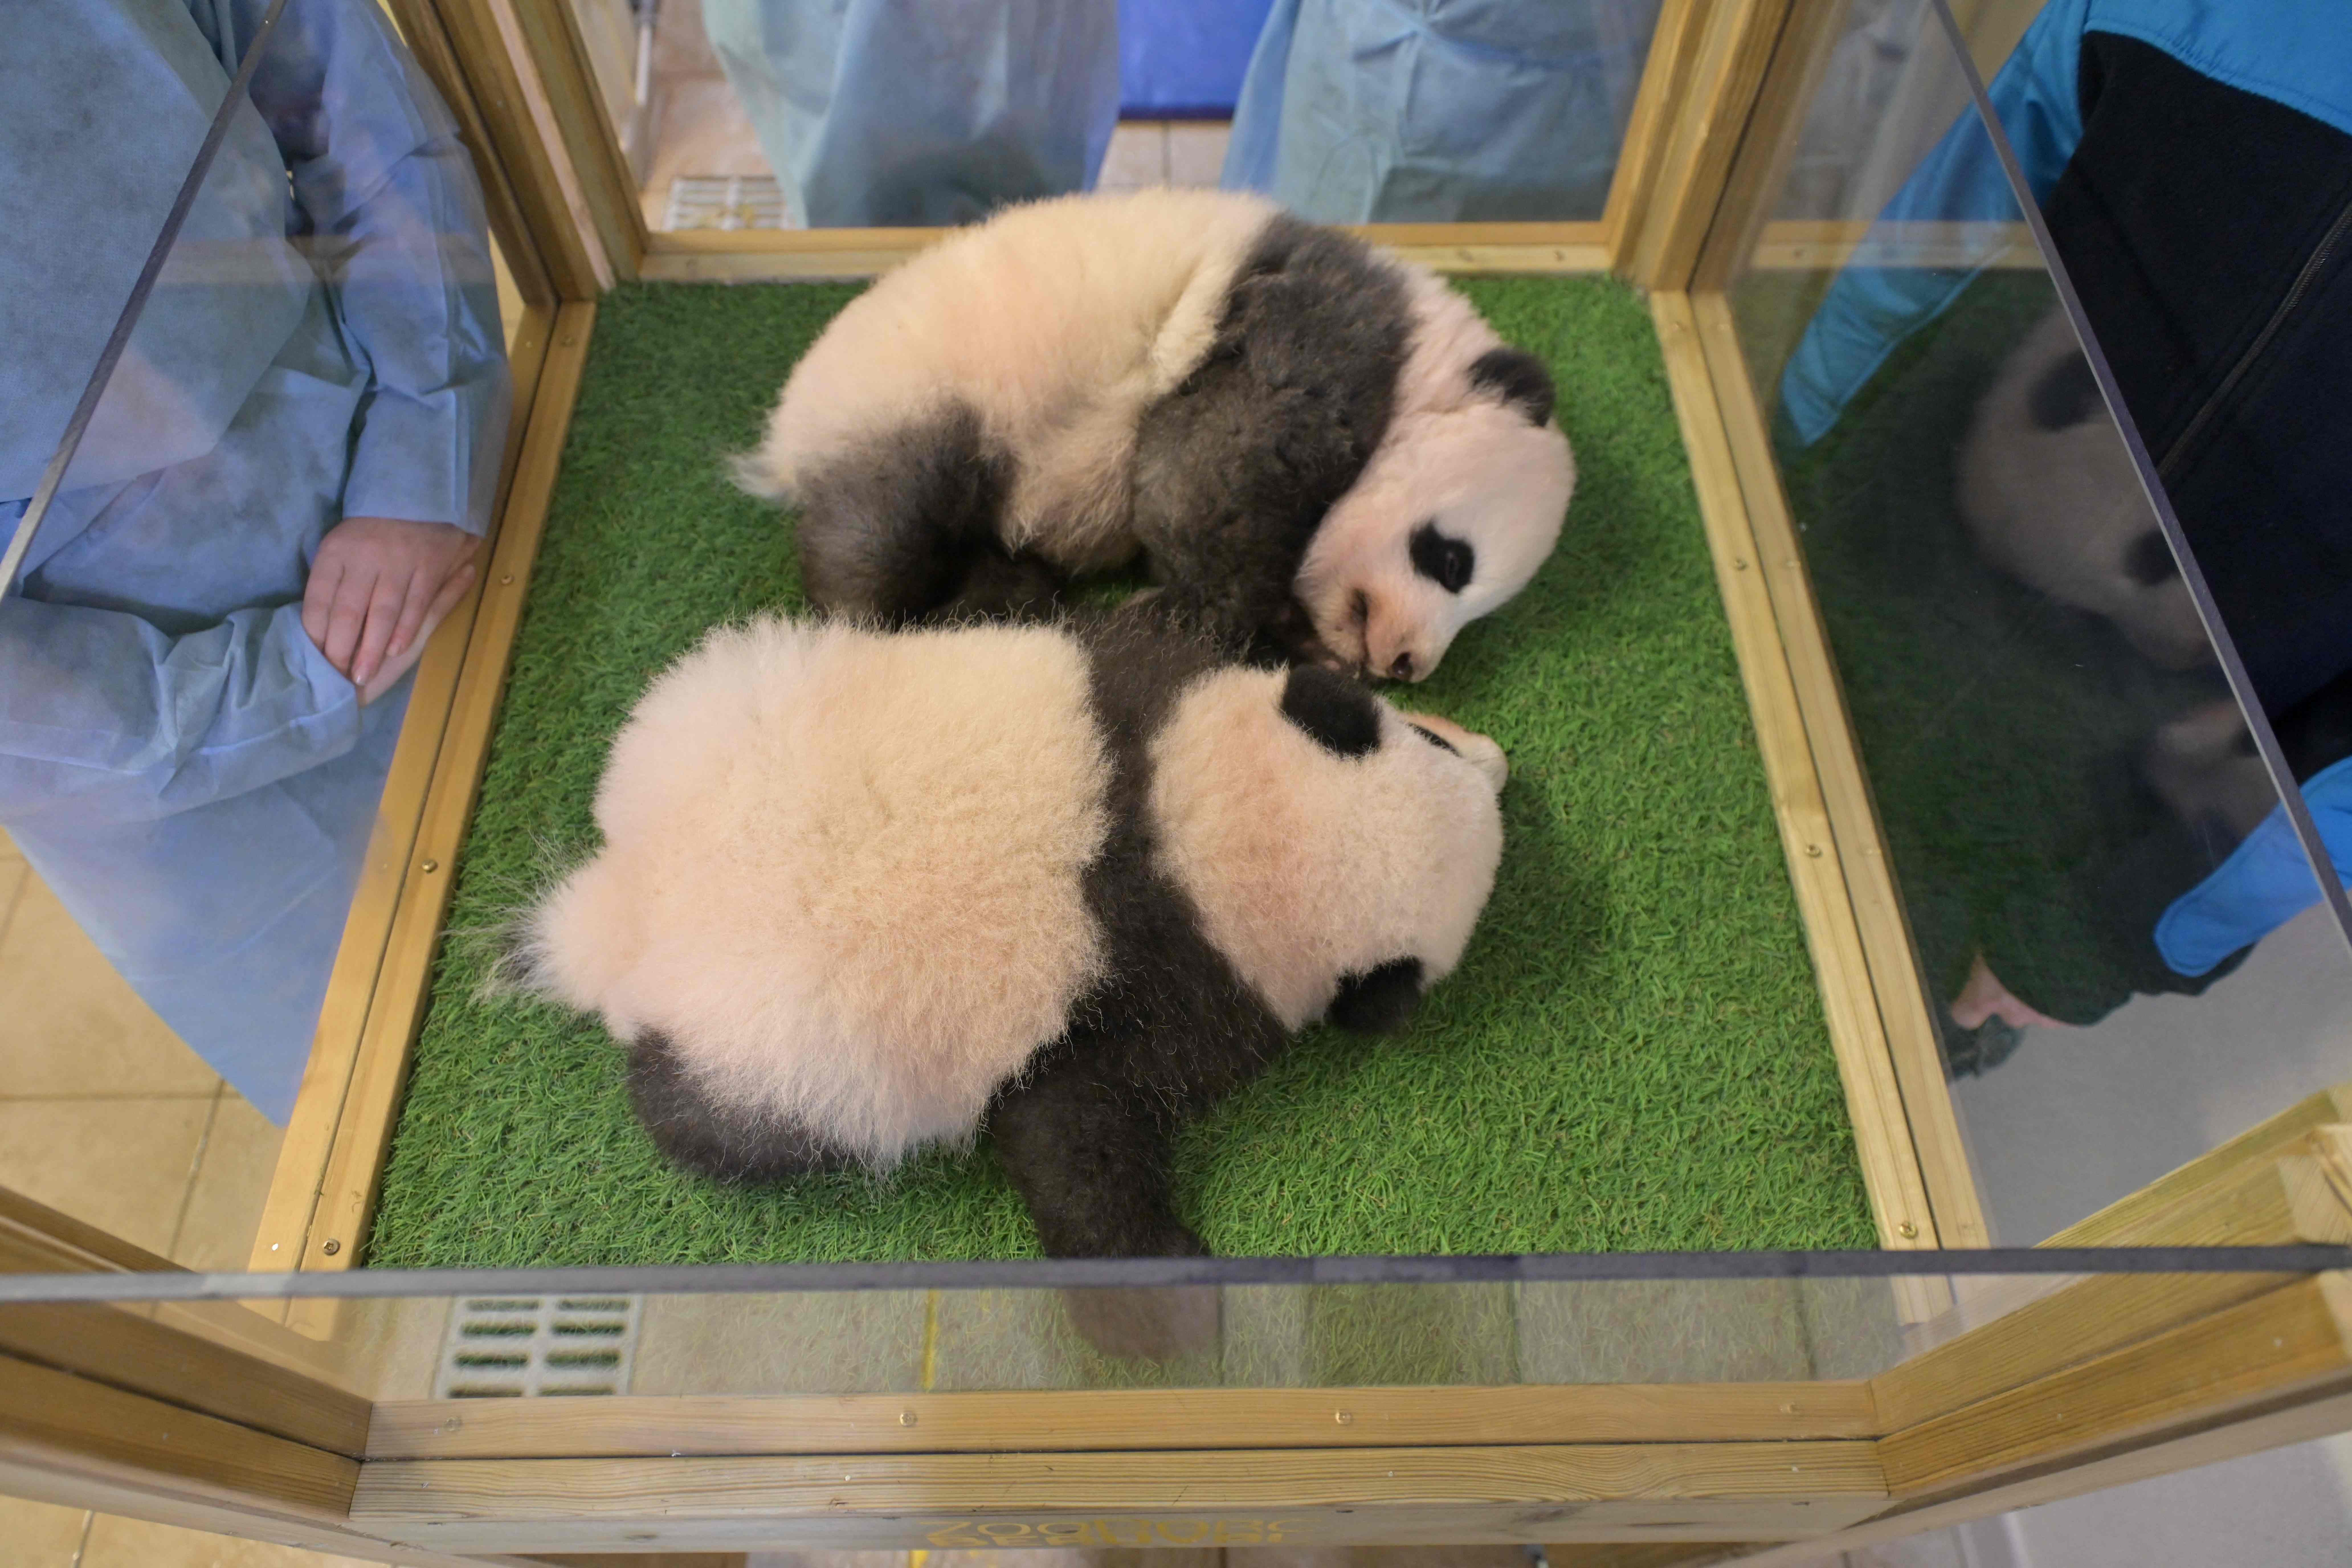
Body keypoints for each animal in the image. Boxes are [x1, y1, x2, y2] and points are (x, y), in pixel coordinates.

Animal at [504, 608, 1508, 1260]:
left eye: (1436, 744)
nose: (1501, 767)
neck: (1199, 844)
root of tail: (629, 906)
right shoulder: (1160, 1002)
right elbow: (1070, 1134)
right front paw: (1160, 1262)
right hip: (776, 1069)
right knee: (715, 1125)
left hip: (708, 705)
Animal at [732, 188, 1576, 683]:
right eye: (1451, 559)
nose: (1406, 665)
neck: (1417, 364)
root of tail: (782, 444)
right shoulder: (1315, 324)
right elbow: (1217, 475)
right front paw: (1238, 629)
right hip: (914, 401)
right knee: (883, 537)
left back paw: (1009, 591)